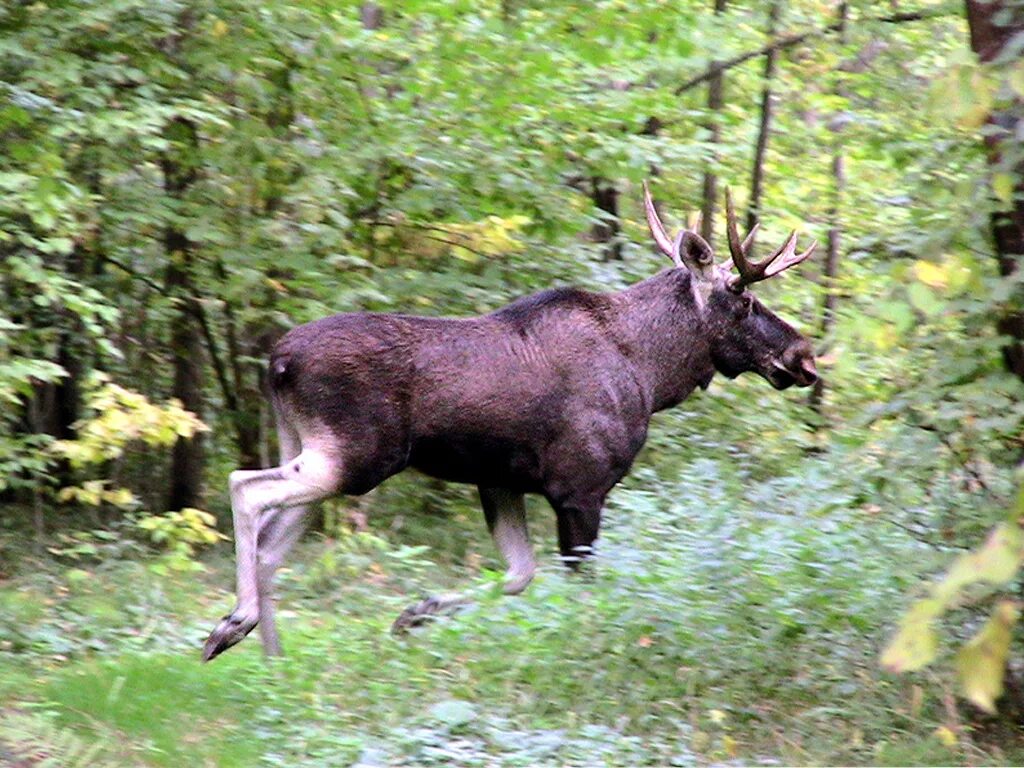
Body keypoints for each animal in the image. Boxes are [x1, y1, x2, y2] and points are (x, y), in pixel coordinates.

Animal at [203, 185, 819, 663]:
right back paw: (234, 623)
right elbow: (577, 587)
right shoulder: (580, 487)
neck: (651, 375)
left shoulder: (500, 481)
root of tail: (278, 363)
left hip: (315, 449)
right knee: (244, 487)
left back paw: (272, 660)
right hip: (356, 456)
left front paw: (416, 613)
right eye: (743, 300)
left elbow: (520, 574)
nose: (804, 356)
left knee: (271, 546)